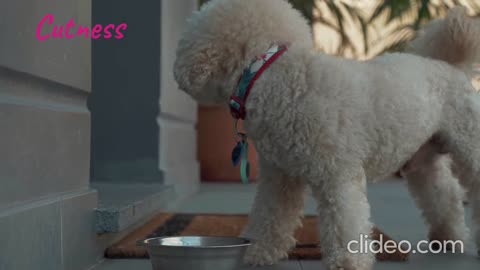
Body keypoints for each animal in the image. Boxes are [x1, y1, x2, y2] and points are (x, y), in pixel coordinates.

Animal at [174, 1, 480, 268]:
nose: (177, 73)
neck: (273, 75)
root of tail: (452, 67)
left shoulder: (338, 172)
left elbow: (345, 219)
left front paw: (347, 261)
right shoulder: (280, 174)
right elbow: (270, 214)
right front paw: (258, 250)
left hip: (468, 142)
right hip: (422, 157)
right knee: (444, 194)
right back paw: (448, 237)